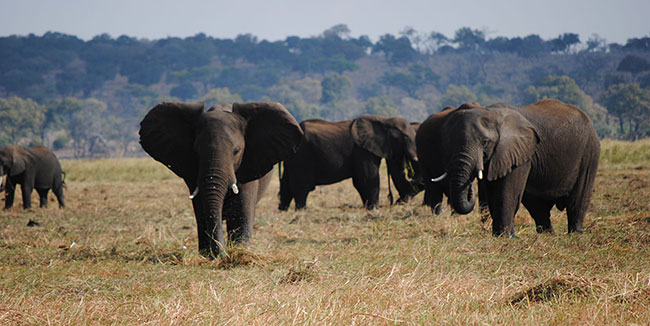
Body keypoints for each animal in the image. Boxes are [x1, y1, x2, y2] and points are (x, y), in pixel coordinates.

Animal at [139, 102, 302, 258]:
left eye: (236, 151)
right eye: (196, 152)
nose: (222, 254)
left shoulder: (249, 164)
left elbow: (242, 209)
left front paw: (240, 251)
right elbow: (201, 209)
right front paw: (209, 255)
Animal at [276, 114, 418, 211]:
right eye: (405, 138)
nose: (395, 201)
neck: (384, 119)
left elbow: (359, 182)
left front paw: (368, 208)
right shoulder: (362, 151)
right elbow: (368, 178)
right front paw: (374, 209)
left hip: (293, 158)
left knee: (286, 184)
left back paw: (283, 210)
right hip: (302, 156)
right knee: (301, 187)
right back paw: (301, 211)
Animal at [416, 98, 596, 234]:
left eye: (485, 142)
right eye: (448, 143)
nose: (470, 186)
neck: (490, 112)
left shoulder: (517, 152)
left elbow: (506, 192)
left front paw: (504, 236)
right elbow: (493, 192)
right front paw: (500, 235)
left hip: (589, 150)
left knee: (577, 199)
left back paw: (575, 233)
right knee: (537, 205)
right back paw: (548, 234)